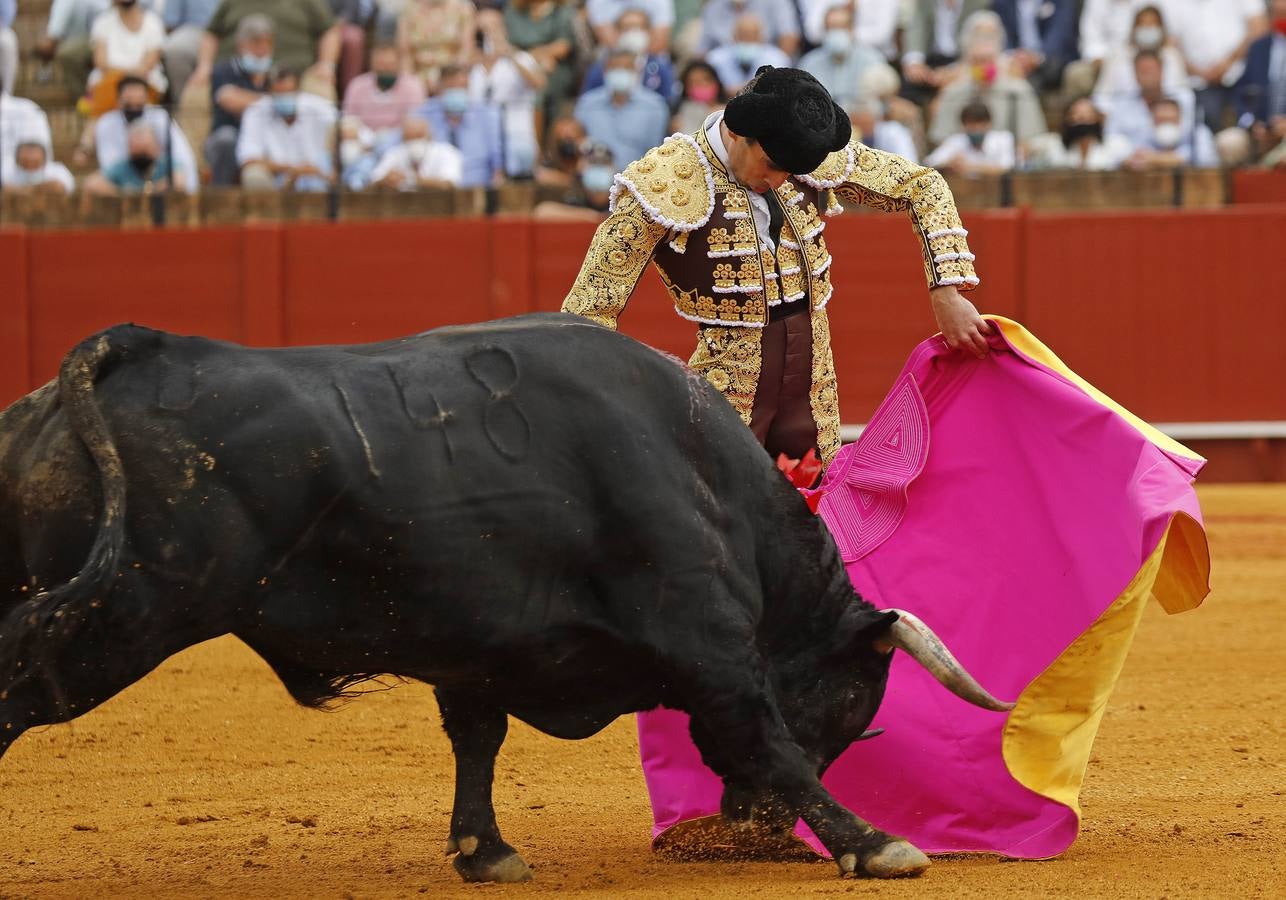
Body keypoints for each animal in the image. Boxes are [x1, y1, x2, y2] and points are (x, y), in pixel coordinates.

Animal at [0, 312, 1003, 884]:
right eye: (855, 697)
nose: (749, 828)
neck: (706, 475)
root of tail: (126, 353)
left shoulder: (476, 651)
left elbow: (476, 744)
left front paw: (485, 852)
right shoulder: (708, 638)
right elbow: (768, 735)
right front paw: (875, 844)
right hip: (115, 622)